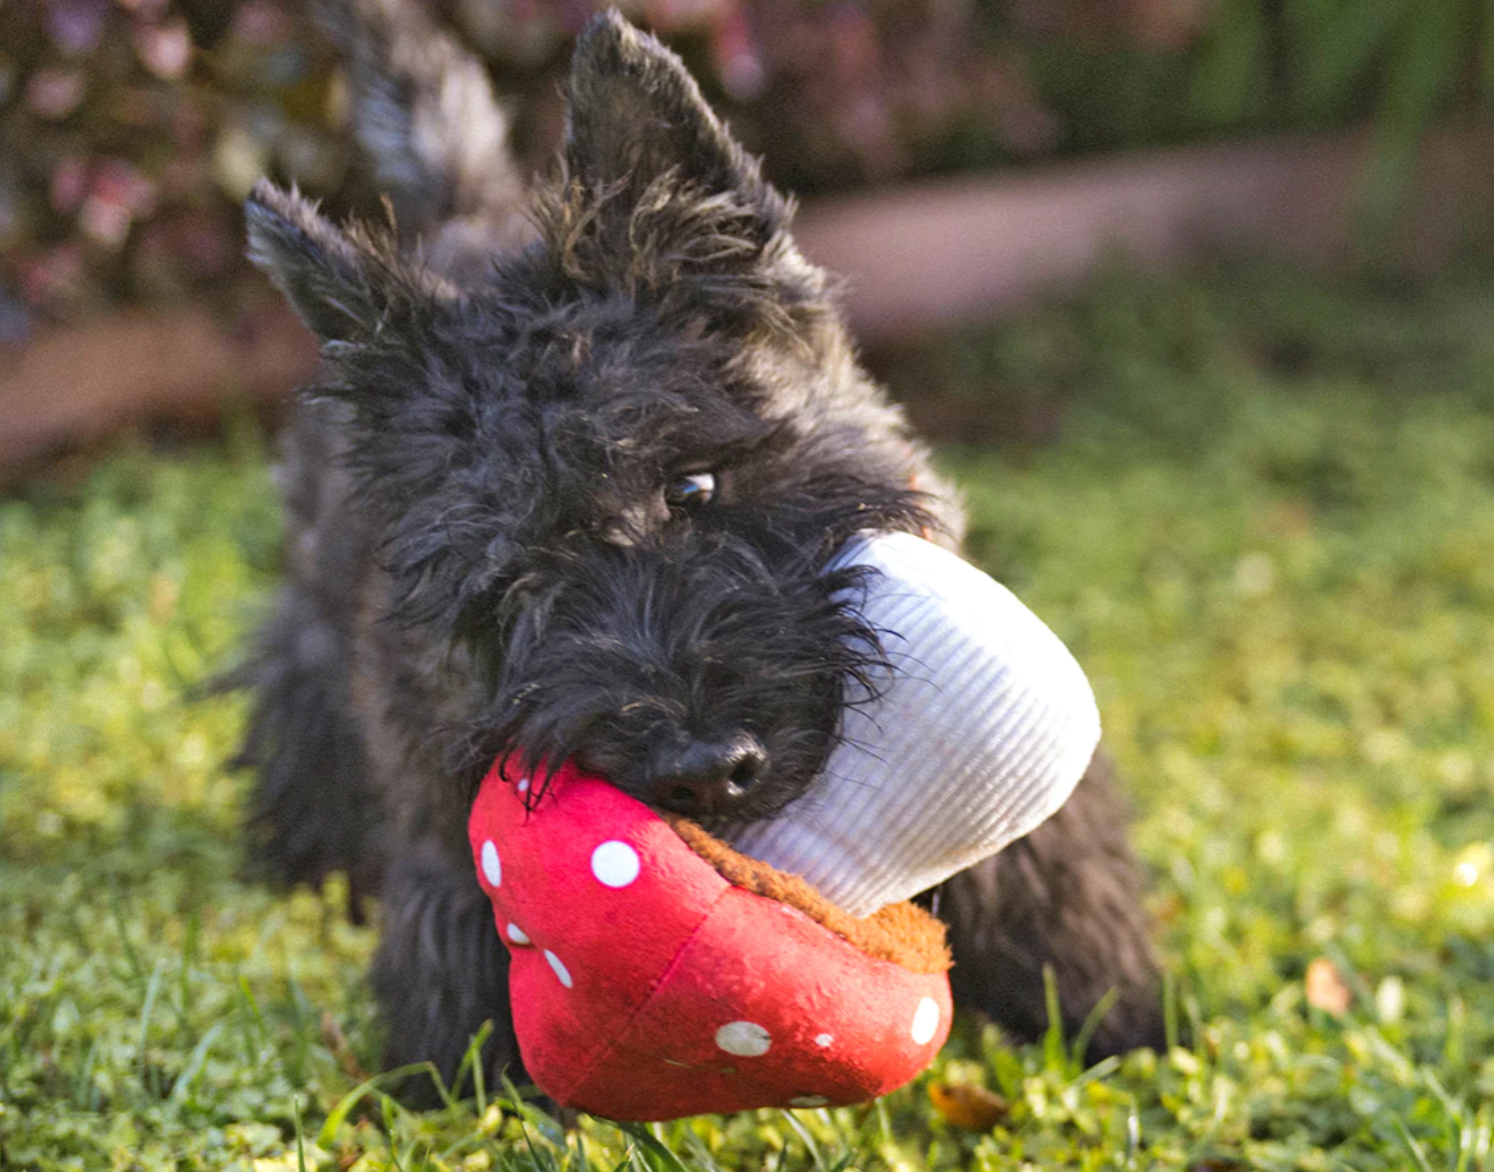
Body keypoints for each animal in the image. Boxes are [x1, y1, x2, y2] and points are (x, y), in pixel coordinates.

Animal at [236, 0, 1165, 1100]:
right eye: (515, 580)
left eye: (692, 486)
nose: (701, 770)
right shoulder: (437, 817)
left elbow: (1049, 890)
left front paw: (1124, 1019)